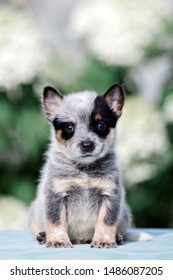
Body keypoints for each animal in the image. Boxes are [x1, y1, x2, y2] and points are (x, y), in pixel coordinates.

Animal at [28, 82, 131, 247]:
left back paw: (117, 237)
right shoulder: (56, 193)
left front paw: (104, 240)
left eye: (101, 125)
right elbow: (56, 222)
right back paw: (43, 236)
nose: (87, 145)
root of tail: (80, 240)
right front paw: (58, 240)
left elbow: (106, 222)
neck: (84, 171)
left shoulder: (110, 193)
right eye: (69, 127)